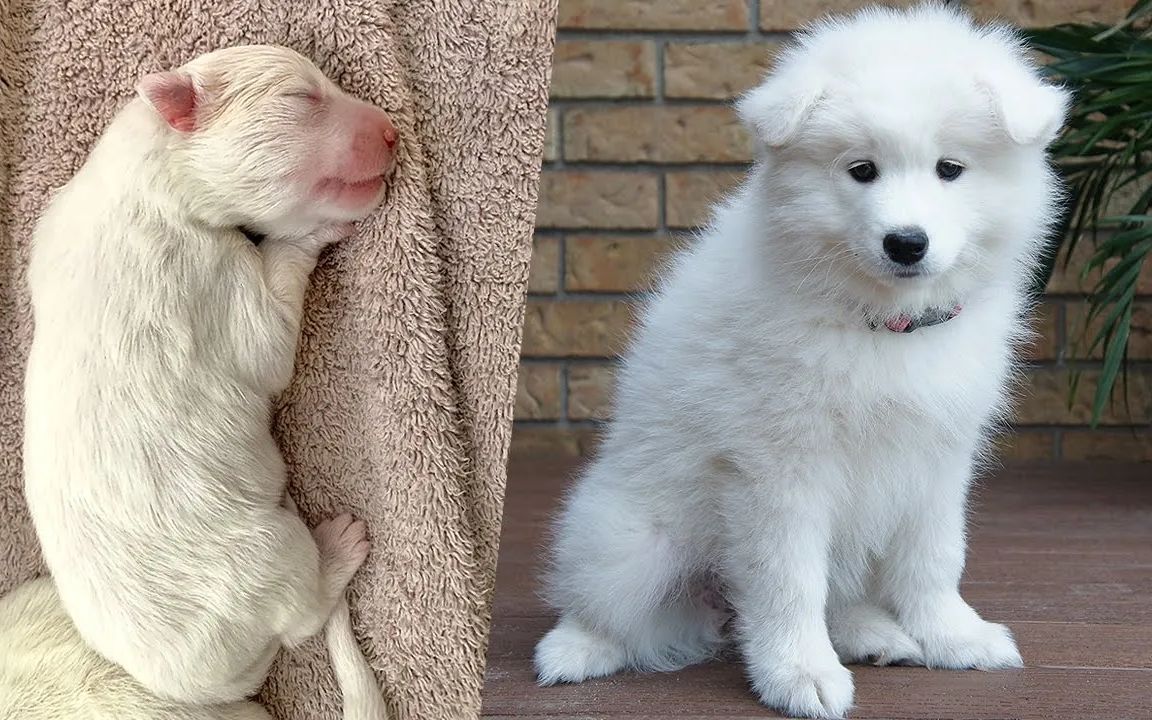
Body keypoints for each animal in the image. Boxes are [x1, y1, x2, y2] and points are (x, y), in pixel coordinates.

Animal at [22, 44, 398, 718]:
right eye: (301, 97)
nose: (392, 132)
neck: (145, 178)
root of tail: (207, 686)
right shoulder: (210, 276)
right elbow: (269, 344)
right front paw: (312, 231)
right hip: (266, 556)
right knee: (304, 615)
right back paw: (339, 546)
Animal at [534, 5, 1064, 718]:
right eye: (861, 170)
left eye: (950, 169)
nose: (906, 243)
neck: (881, 325)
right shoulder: (779, 466)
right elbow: (788, 581)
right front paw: (800, 674)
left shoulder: (937, 455)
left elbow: (933, 556)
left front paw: (953, 636)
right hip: (633, 539)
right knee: (604, 602)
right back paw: (575, 649)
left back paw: (872, 633)